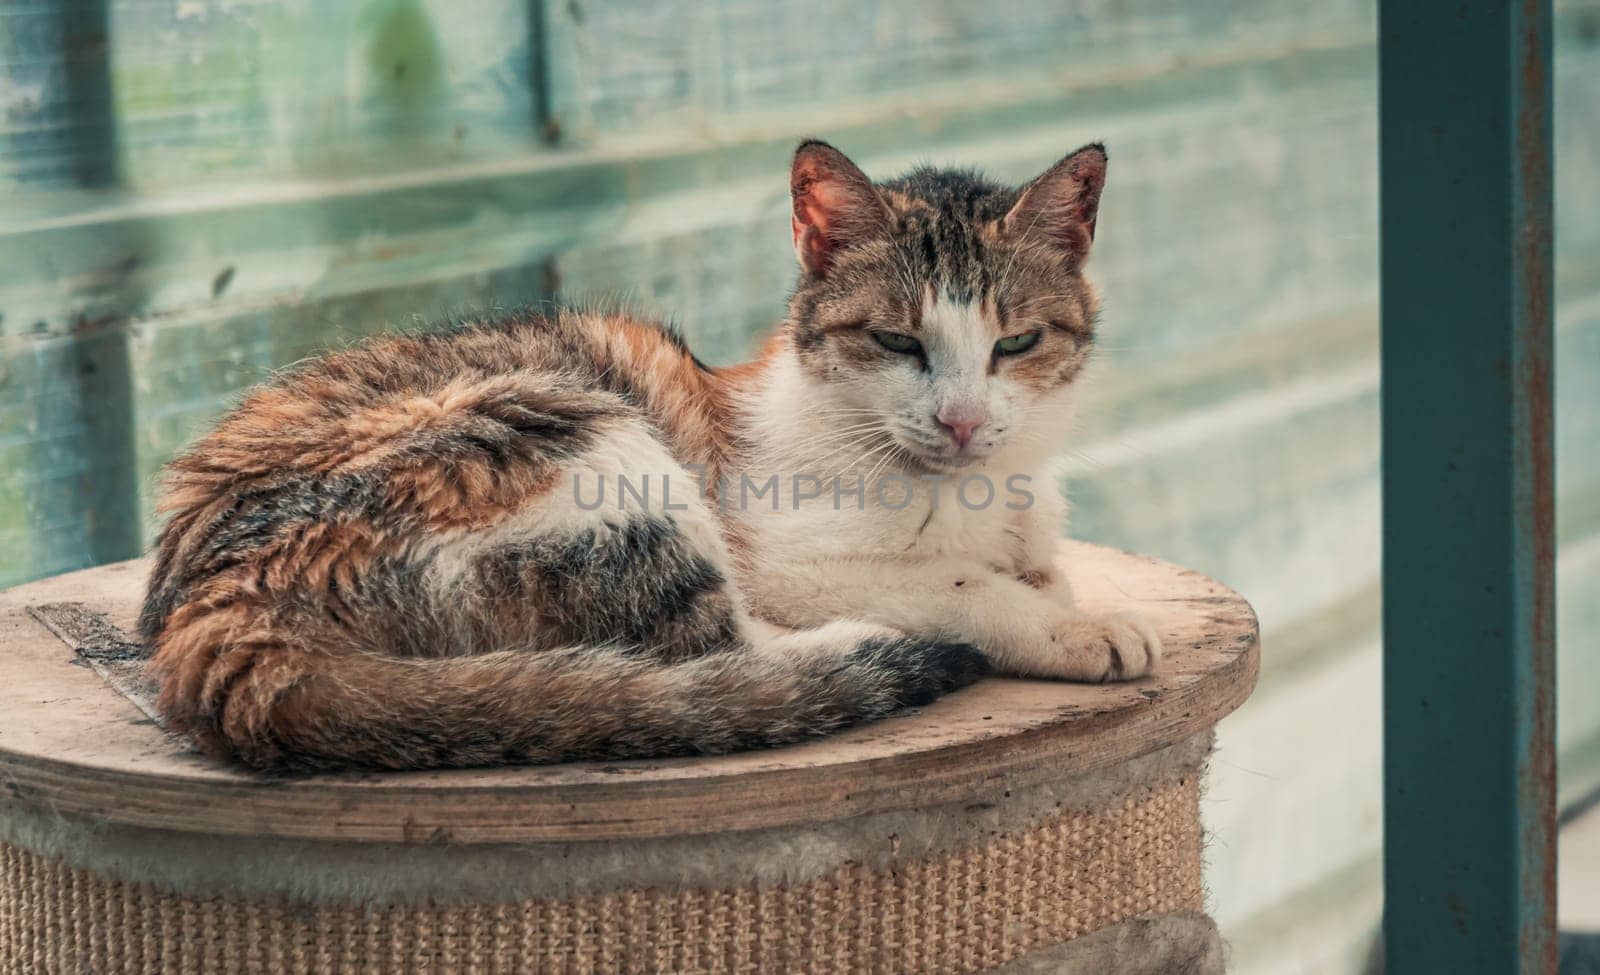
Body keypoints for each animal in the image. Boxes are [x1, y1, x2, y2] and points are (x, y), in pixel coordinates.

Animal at [140, 140, 1164, 771]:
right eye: (897, 341)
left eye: (1016, 344)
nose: (960, 420)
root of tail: (209, 609)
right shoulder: (791, 556)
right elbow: (962, 583)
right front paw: (1078, 628)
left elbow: (1037, 569)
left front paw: (1058, 593)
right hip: (577, 434)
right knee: (714, 651)